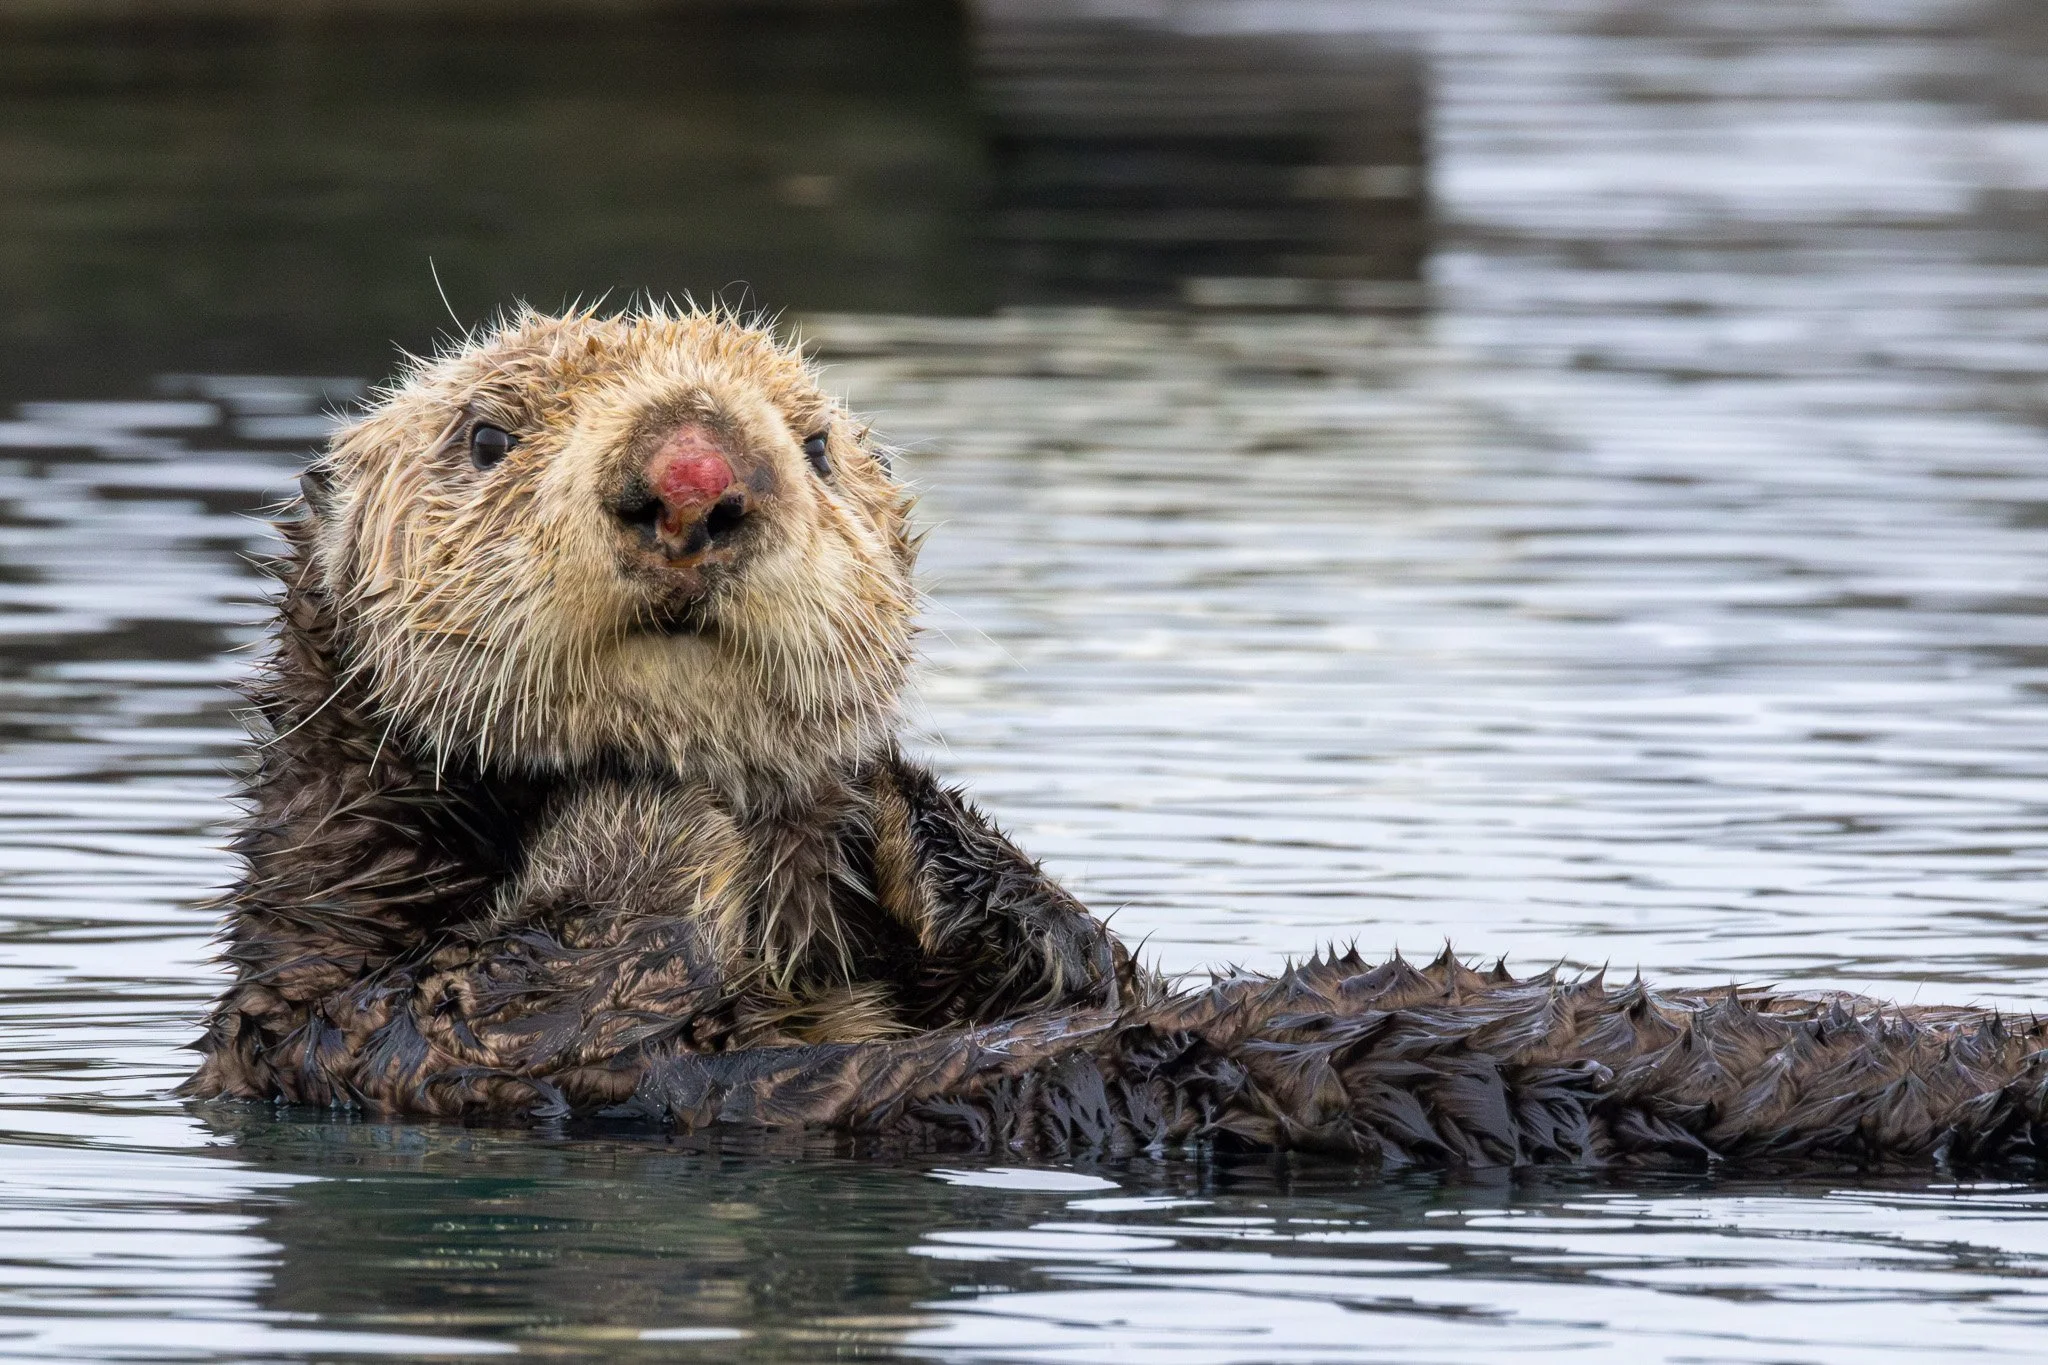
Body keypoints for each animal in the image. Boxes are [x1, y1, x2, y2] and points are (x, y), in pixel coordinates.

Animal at [191, 307, 2048, 1170]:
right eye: (485, 433)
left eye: (814, 443)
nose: (697, 472)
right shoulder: (368, 1030)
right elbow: (542, 982)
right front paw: (692, 812)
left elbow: (1086, 964)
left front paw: (885, 809)